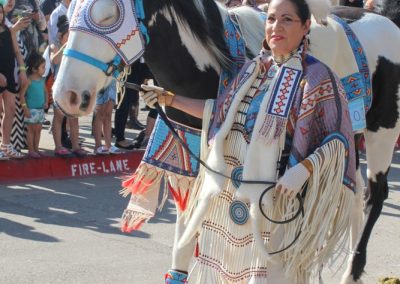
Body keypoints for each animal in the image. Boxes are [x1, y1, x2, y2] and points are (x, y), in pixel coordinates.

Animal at [53, 1, 400, 282]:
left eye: (108, 15)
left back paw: (352, 271)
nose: (66, 95)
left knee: (373, 195)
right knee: (353, 193)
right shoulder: (191, 153)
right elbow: (185, 234)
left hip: (381, 132)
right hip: (351, 136)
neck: (211, 66)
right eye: (69, 16)